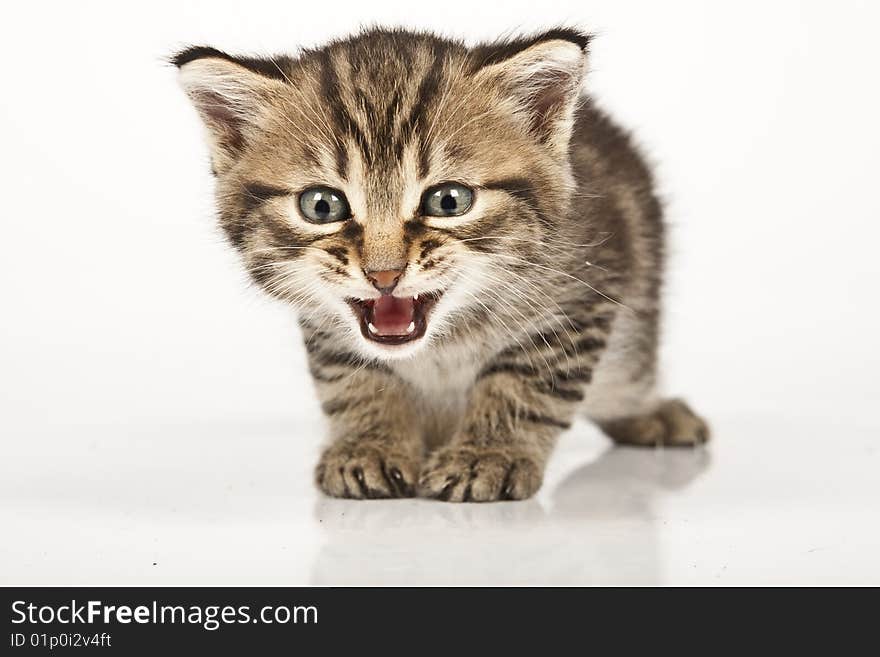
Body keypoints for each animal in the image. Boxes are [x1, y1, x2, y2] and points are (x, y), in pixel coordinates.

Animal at [172, 24, 708, 498]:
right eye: (321, 206)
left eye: (448, 201)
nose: (383, 274)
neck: (445, 341)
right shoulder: (326, 325)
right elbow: (354, 377)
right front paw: (370, 443)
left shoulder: (583, 294)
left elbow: (525, 380)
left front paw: (489, 453)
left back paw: (655, 414)